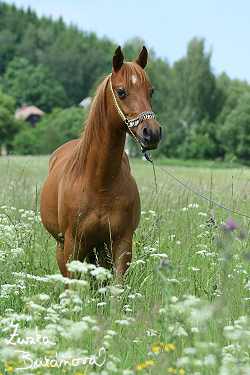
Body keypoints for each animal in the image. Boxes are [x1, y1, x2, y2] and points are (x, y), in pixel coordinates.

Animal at [40, 46, 162, 280]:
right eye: (121, 91)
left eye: (151, 91)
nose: (151, 133)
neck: (99, 182)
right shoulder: (73, 246)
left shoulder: (121, 246)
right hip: (64, 248)